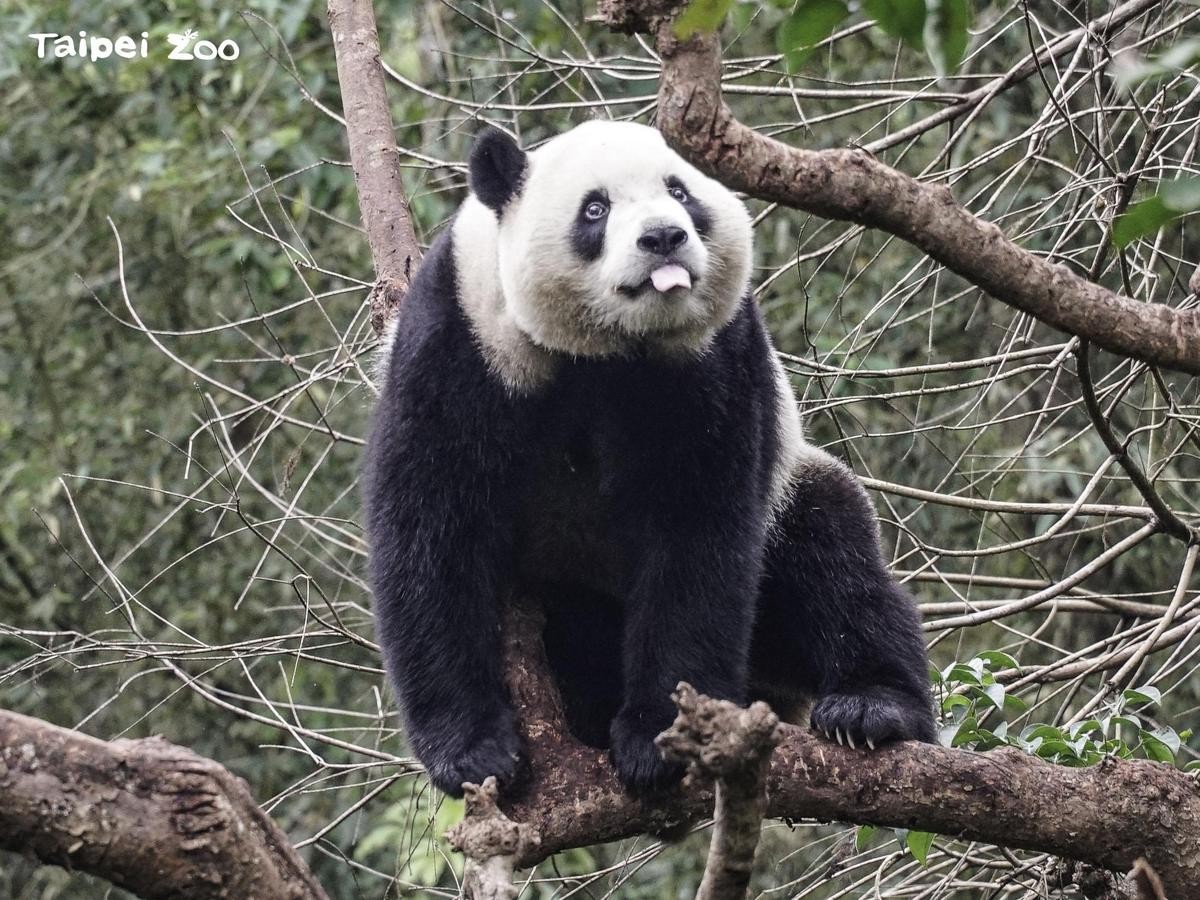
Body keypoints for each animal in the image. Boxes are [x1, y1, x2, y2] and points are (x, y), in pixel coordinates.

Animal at [364, 120, 936, 796]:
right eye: (595, 208)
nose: (664, 237)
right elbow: (432, 527)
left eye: (681, 192)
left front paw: (660, 738)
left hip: (789, 507)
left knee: (833, 557)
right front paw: (474, 750)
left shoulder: (712, 359)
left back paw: (871, 708)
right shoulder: (461, 336)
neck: (607, 345)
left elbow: (696, 535)